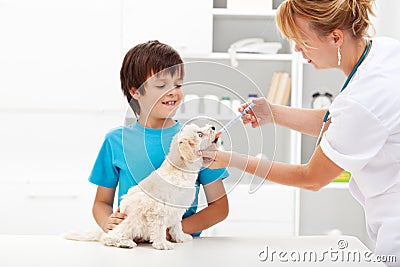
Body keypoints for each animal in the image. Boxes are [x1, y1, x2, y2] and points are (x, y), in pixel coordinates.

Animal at [65, 124, 216, 250]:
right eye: (200, 134)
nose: (213, 127)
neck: (179, 169)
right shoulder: (157, 210)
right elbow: (159, 229)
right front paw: (162, 244)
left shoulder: (177, 209)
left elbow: (177, 225)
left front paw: (180, 237)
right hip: (131, 223)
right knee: (109, 237)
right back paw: (125, 243)